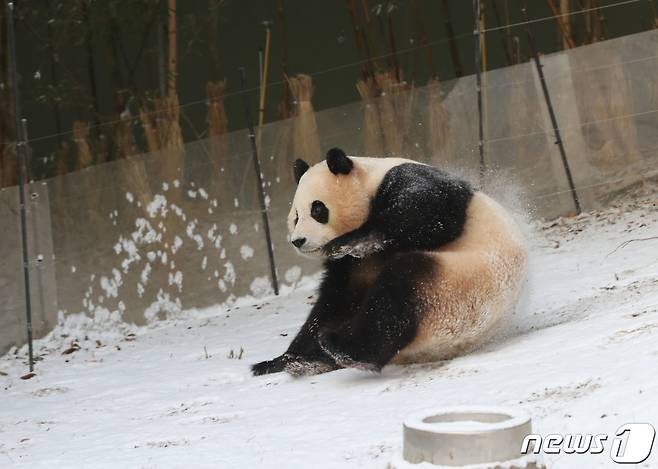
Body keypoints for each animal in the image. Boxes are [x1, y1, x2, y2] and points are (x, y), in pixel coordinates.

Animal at [249, 149, 524, 376]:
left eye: (318, 209)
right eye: (296, 216)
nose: (298, 240)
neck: (368, 181)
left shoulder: (406, 179)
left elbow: (431, 210)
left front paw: (350, 239)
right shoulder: (350, 268)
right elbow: (335, 302)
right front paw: (283, 360)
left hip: (459, 285)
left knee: (397, 293)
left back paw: (346, 349)